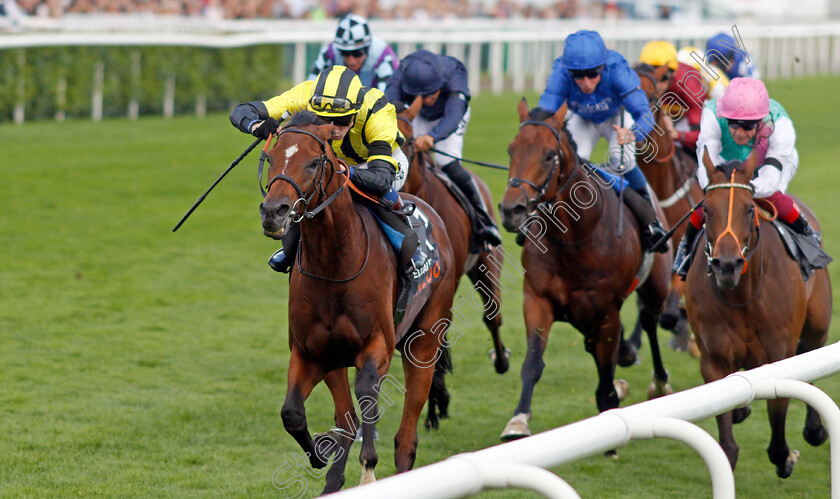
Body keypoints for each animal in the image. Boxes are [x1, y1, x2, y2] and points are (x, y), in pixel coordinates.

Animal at [262, 112, 456, 492]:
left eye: (313, 162)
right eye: (272, 158)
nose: (273, 211)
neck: (334, 262)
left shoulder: (377, 345)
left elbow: (367, 393)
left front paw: (368, 467)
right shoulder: (312, 353)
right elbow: (293, 412)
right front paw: (320, 454)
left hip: (424, 342)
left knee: (405, 439)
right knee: (347, 416)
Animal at [396, 98, 508, 430]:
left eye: (409, 140)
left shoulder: (447, 279)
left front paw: (436, 402)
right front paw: (436, 402)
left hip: (486, 265)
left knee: (493, 315)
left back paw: (501, 359)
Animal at [496, 98, 672, 442]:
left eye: (549, 155)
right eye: (510, 150)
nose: (512, 210)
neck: (574, 239)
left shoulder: (607, 311)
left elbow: (605, 376)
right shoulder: (537, 300)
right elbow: (533, 362)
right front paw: (518, 420)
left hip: (656, 285)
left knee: (649, 319)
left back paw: (659, 381)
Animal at [684, 150, 832, 478]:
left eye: (749, 209)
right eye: (706, 210)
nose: (727, 265)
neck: (742, 297)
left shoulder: (779, 354)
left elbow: (778, 416)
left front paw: (785, 457)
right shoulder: (713, 359)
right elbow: (727, 446)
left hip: (817, 325)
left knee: (813, 360)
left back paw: (815, 429)